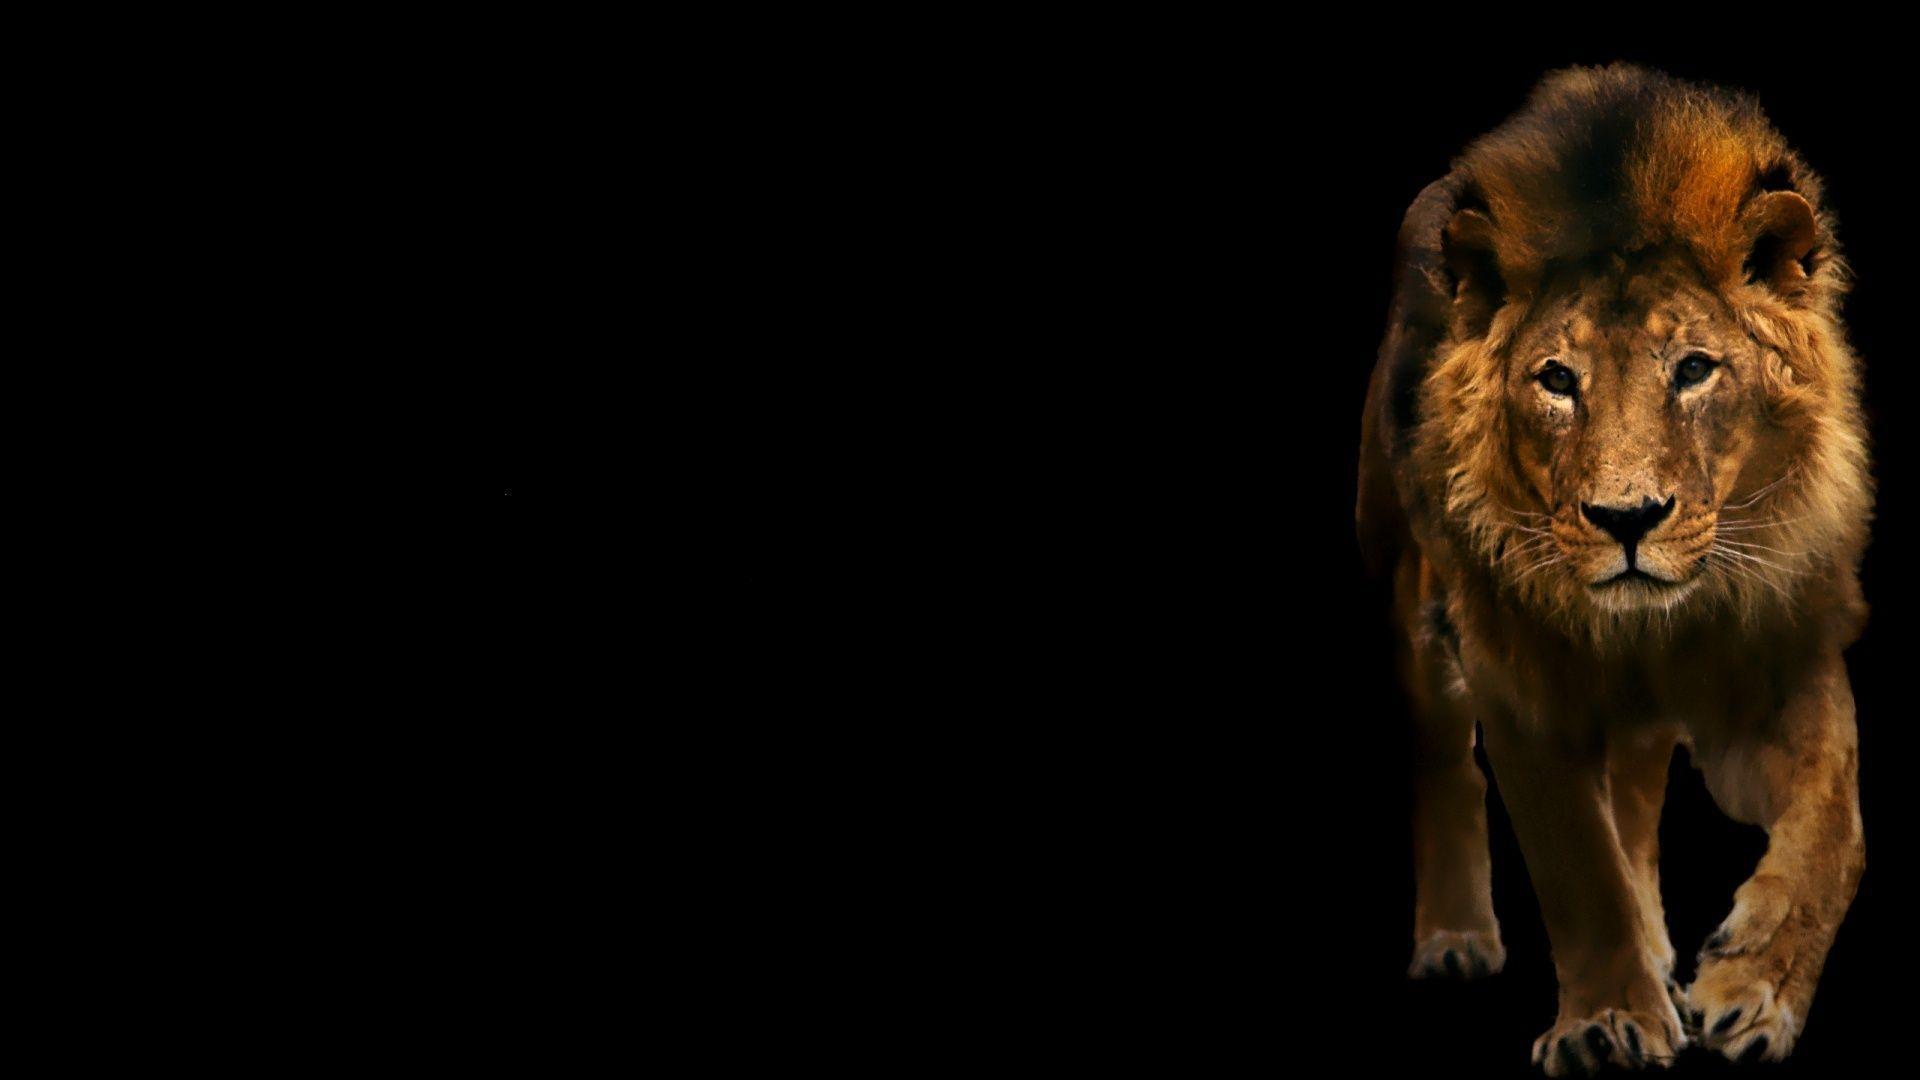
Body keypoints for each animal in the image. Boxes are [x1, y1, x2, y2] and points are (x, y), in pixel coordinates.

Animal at [1355, 65, 1871, 1074]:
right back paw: (1455, 938)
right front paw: (1606, 1023)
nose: (1627, 519)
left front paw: (1754, 987)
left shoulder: (1779, 651)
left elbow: (1835, 821)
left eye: (1696, 369)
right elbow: (1574, 860)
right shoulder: (1519, 678)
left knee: (1633, 792)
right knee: (1441, 759)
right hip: (1401, 591)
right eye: (1557, 380)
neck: (1652, 629)